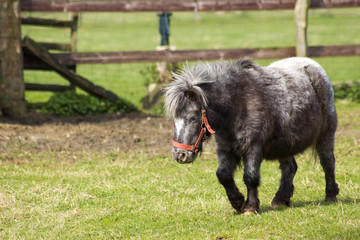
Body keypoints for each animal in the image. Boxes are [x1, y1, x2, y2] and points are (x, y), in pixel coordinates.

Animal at [165, 57, 338, 214]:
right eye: (174, 119)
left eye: (193, 118)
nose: (180, 155)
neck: (237, 104)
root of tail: (313, 65)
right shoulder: (225, 148)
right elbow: (223, 175)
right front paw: (237, 202)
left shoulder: (253, 147)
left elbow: (250, 177)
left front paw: (250, 207)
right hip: (285, 145)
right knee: (289, 168)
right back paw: (281, 199)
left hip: (326, 134)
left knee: (327, 162)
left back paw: (331, 196)